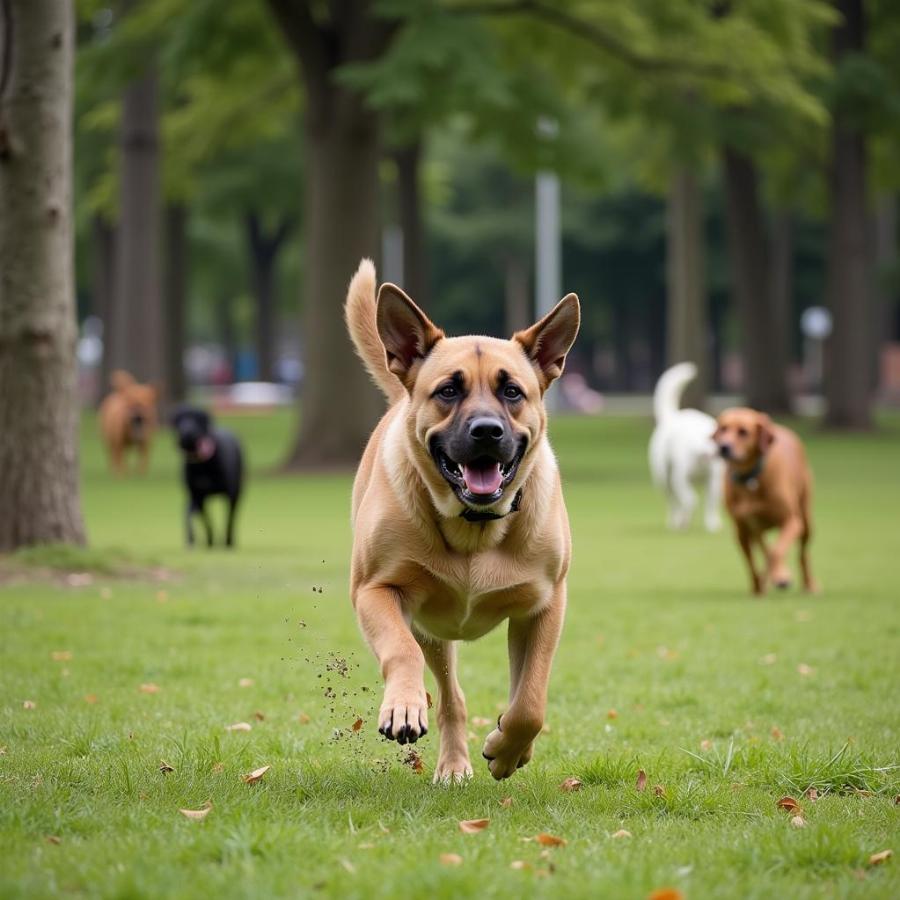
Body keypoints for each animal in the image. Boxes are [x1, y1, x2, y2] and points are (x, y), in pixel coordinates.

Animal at [170, 408, 243, 548]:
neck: (201, 463)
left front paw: (227, 542)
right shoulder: (197, 496)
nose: (186, 433)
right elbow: (205, 521)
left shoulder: (230, 494)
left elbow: (228, 520)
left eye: (196, 419)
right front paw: (208, 541)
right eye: (180, 420)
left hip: (237, 491)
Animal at [342, 258, 580, 780]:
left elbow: (530, 701)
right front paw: (403, 706)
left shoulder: (545, 605)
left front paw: (509, 748)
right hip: (432, 630)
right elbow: (400, 650)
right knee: (450, 696)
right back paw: (452, 762)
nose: (486, 431)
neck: (475, 525)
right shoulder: (375, 590)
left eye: (512, 391)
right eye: (449, 390)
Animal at [648, 362, 724, 532]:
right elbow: (690, 499)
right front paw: (684, 519)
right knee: (673, 503)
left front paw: (711, 524)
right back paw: (675, 521)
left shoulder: (714, 481)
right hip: (664, 479)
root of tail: (672, 417)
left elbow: (711, 505)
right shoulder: (680, 478)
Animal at [712, 410, 820, 596]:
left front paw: (776, 578)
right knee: (764, 547)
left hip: (805, 520)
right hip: (756, 528)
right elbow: (752, 563)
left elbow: (775, 553)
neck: (750, 479)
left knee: (802, 554)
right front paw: (758, 588)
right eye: (723, 428)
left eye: (743, 432)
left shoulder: (792, 522)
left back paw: (808, 585)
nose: (724, 447)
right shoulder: (741, 530)